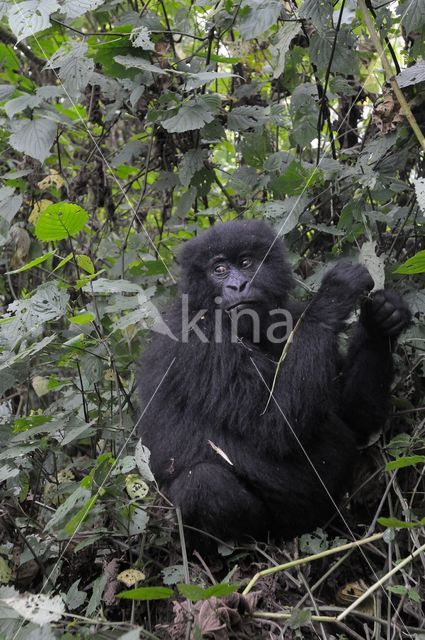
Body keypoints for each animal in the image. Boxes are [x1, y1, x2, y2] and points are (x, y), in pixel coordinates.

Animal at [137, 221, 410, 544]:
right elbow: (274, 425)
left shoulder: (290, 316)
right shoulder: (194, 336)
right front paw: (335, 292)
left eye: (246, 263)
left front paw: (382, 319)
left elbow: (353, 418)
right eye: (219, 269)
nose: (238, 286)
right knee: (202, 482)